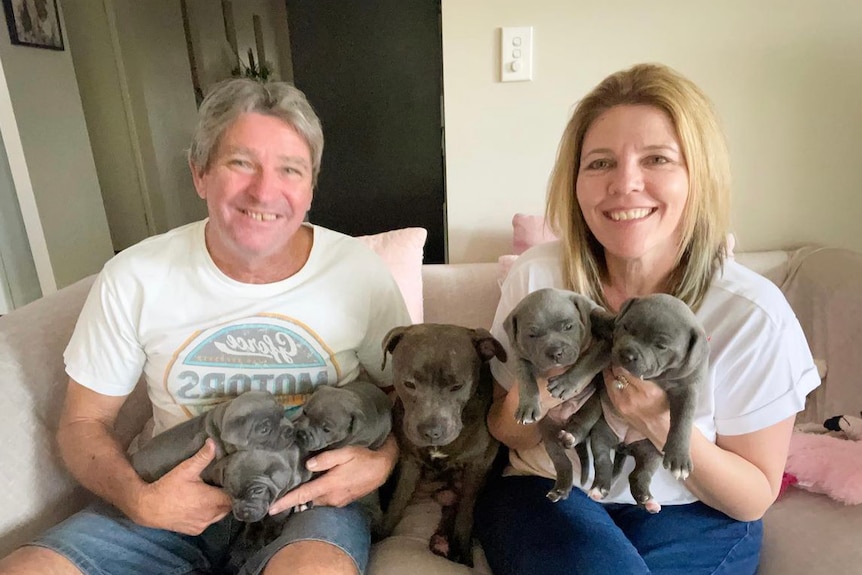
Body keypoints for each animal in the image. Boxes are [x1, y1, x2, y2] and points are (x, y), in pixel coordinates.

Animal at [380, 324, 506, 568]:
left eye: (457, 386)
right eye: (409, 383)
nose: (431, 431)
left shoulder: (478, 465)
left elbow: (466, 510)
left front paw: (462, 550)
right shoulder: (409, 461)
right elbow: (397, 499)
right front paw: (379, 534)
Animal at [502, 288, 616, 504]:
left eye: (568, 326)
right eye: (532, 334)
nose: (556, 353)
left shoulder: (605, 345)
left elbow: (588, 360)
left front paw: (565, 383)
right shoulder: (520, 356)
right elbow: (526, 378)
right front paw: (527, 407)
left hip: (592, 405)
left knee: (581, 425)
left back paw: (571, 435)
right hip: (548, 435)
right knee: (562, 461)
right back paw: (561, 488)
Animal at [596, 294, 712, 510]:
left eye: (661, 346)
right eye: (626, 327)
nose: (627, 354)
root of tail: (624, 446)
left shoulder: (687, 388)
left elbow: (683, 418)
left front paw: (679, 457)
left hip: (650, 451)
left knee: (638, 474)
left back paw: (646, 499)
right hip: (602, 431)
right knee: (602, 458)